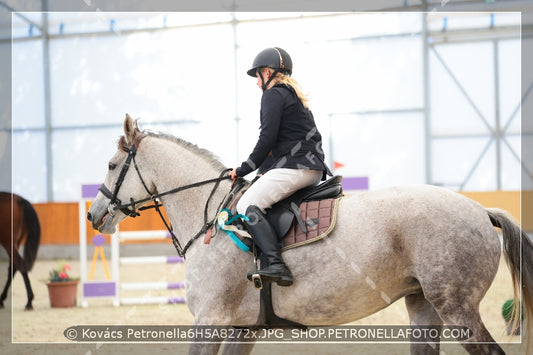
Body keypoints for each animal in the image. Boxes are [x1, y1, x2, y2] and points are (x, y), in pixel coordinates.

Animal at [85, 115, 528, 354]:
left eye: (111, 165)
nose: (93, 215)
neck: (209, 215)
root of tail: (480, 210)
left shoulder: (209, 320)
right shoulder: (242, 328)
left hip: (459, 310)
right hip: (424, 308)